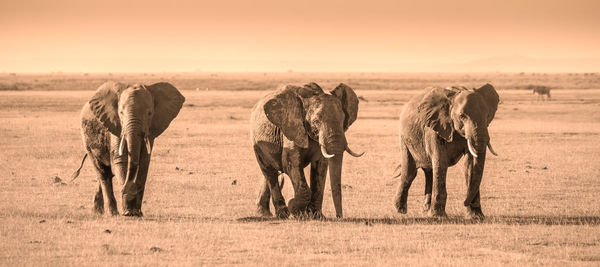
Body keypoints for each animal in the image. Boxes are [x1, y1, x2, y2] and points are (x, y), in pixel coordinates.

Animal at [74, 81, 185, 218]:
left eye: (149, 113)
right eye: (121, 113)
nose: (126, 190)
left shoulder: (150, 129)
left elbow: (144, 162)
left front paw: (136, 212)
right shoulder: (115, 124)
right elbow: (120, 160)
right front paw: (128, 212)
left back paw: (98, 212)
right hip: (87, 140)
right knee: (102, 172)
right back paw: (112, 213)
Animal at [251, 83, 364, 220]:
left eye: (343, 120)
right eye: (316, 122)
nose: (339, 216)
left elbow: (321, 166)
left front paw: (317, 216)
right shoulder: (292, 128)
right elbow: (290, 164)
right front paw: (295, 209)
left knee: (271, 173)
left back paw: (264, 213)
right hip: (256, 140)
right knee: (269, 172)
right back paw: (282, 214)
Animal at [394, 84, 502, 220]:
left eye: (488, 116)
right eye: (462, 116)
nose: (464, 202)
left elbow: (470, 165)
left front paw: (476, 217)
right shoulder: (434, 127)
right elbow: (440, 162)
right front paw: (439, 216)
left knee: (429, 172)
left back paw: (425, 210)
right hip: (404, 138)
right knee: (410, 172)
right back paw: (401, 210)